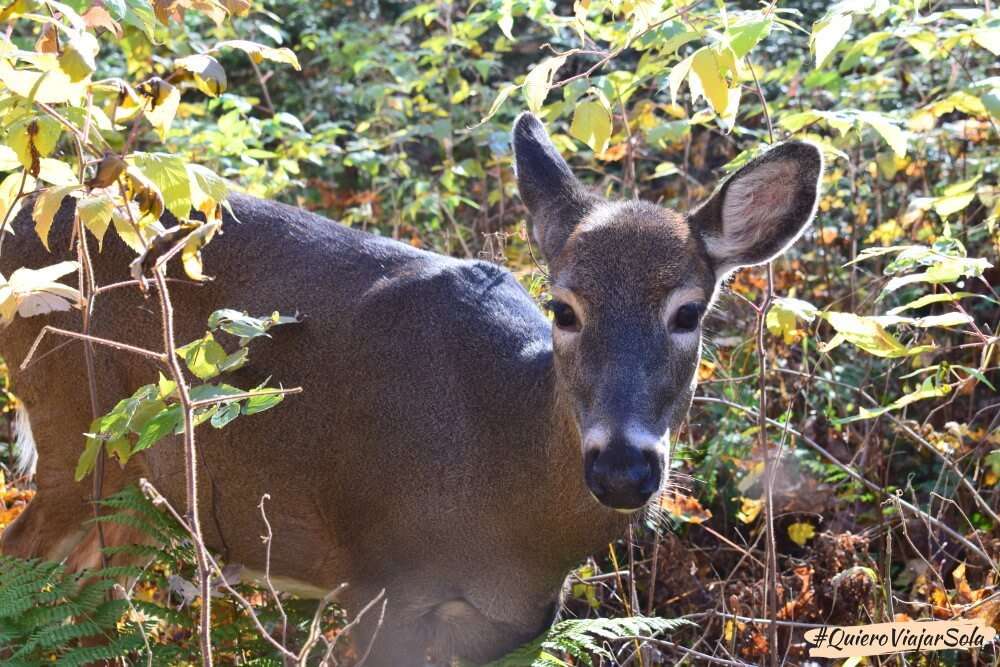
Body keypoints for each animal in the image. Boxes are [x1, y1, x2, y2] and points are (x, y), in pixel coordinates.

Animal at [0, 112, 820, 664]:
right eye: (563, 307)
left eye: (689, 312)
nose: (622, 468)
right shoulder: (378, 581)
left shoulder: (510, 625)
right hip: (74, 427)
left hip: (142, 489)